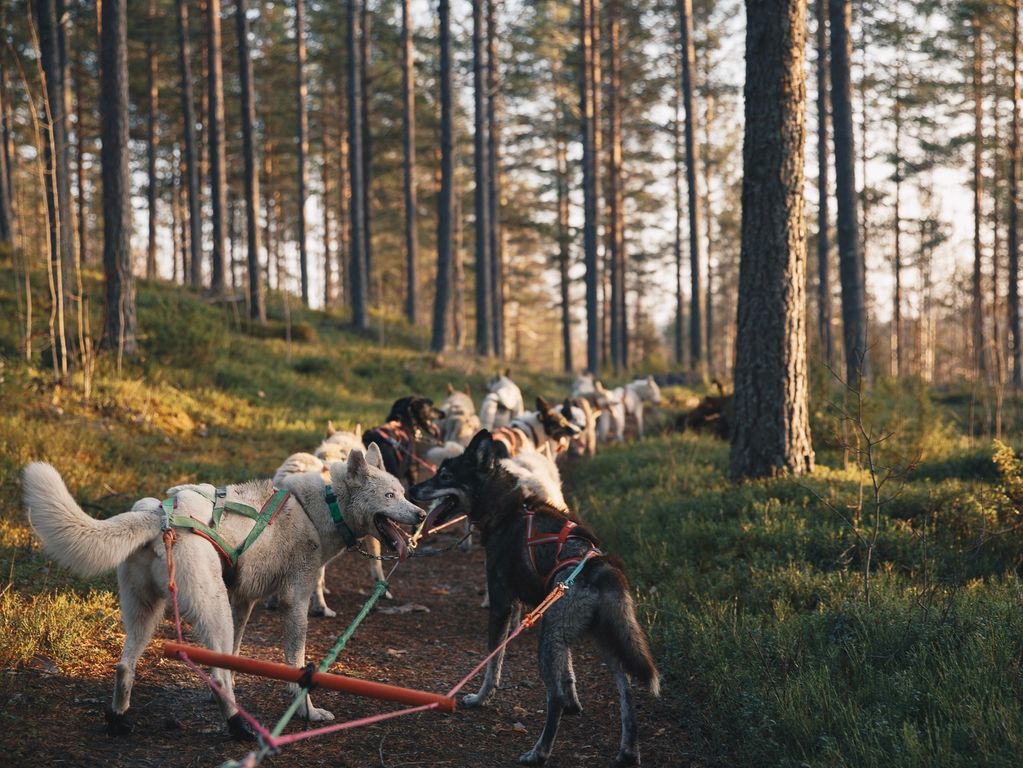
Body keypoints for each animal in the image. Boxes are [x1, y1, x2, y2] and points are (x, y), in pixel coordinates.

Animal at [24, 447, 423, 740]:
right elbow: (297, 668)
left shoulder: (243, 601)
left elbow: (233, 656)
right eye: (390, 495)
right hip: (210, 609)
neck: (320, 506)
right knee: (213, 672)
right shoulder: (294, 602)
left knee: (126, 666)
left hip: (146, 613)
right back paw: (239, 727)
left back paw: (120, 720)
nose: (420, 514)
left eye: (404, 493)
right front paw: (306, 712)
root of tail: (158, 516)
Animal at [409, 433, 658, 768]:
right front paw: (575, 703)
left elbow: (493, 662)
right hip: (599, 640)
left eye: (445, 476)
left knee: (554, 697)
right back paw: (628, 751)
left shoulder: (503, 604)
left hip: (549, 637)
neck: (508, 509)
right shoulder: (549, 618)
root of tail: (599, 568)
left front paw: (480, 698)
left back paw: (540, 751)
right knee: (626, 691)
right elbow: (569, 671)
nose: (412, 489)